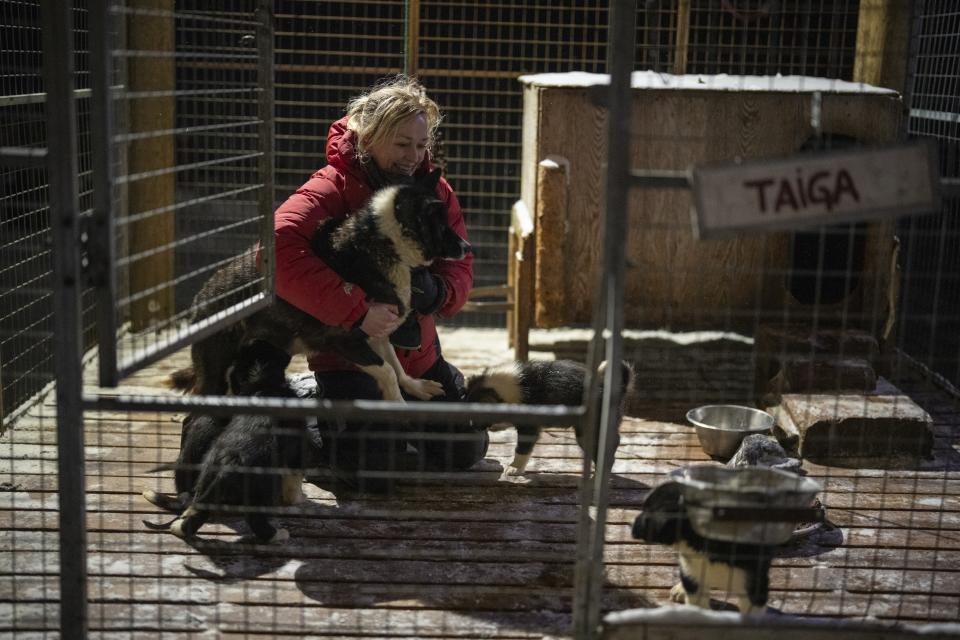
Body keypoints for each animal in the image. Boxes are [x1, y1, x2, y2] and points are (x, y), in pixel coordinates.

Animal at [144, 342, 320, 544]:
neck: (262, 384)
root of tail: (230, 463)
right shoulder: (296, 446)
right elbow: (294, 477)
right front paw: (297, 499)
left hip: (207, 480)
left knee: (199, 509)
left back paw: (179, 528)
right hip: (258, 488)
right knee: (256, 520)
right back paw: (277, 535)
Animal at [172, 168, 472, 402]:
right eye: (442, 227)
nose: (468, 247)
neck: (384, 243)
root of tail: (200, 300)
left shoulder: (378, 333)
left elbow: (397, 366)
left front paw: (416, 387)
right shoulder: (348, 342)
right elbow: (387, 370)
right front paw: (398, 405)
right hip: (216, 370)